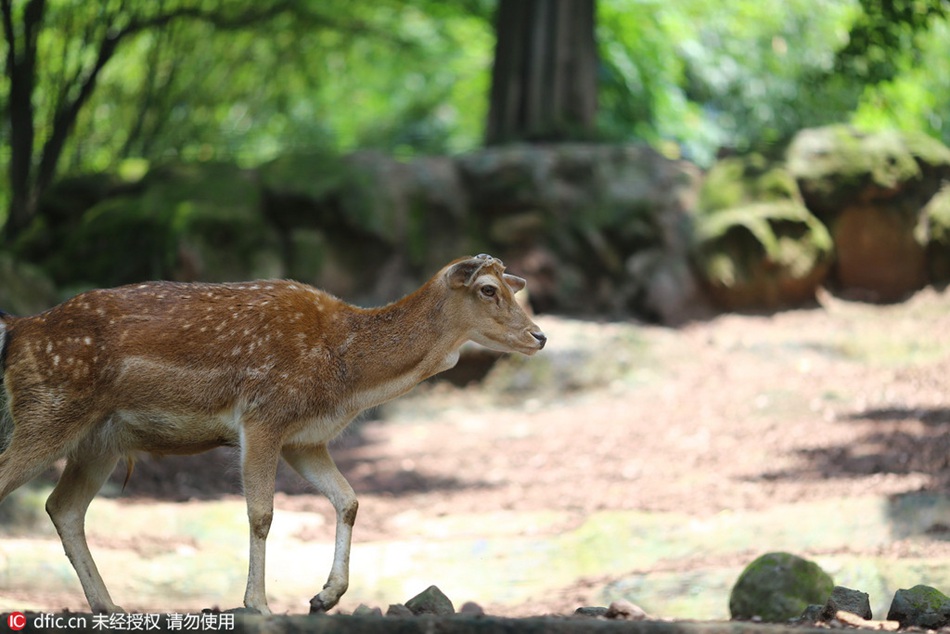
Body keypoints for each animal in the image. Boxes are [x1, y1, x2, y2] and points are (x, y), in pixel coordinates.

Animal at [0, 253, 548, 612]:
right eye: (488, 289)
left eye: (512, 287)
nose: (540, 336)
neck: (346, 374)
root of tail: (18, 328)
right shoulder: (263, 416)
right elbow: (261, 513)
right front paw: (258, 605)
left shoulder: (305, 440)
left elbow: (348, 499)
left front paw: (325, 597)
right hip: (46, 413)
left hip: (99, 442)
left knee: (63, 507)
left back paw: (109, 607)